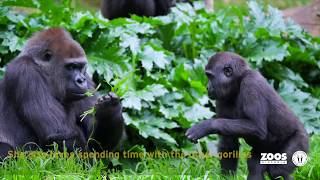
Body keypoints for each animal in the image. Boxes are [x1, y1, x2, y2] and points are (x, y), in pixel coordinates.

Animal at [0, 28, 124, 158]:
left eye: (80, 67)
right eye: (71, 67)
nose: (81, 80)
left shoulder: (87, 78)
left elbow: (97, 146)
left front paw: (109, 111)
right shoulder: (24, 71)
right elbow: (59, 135)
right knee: (5, 148)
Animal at [186, 52, 308, 180]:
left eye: (210, 77)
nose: (207, 87)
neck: (238, 81)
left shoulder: (251, 84)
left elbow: (256, 127)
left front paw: (206, 126)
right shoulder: (221, 97)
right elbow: (228, 143)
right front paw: (227, 177)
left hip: (301, 140)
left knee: (277, 171)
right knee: (255, 167)